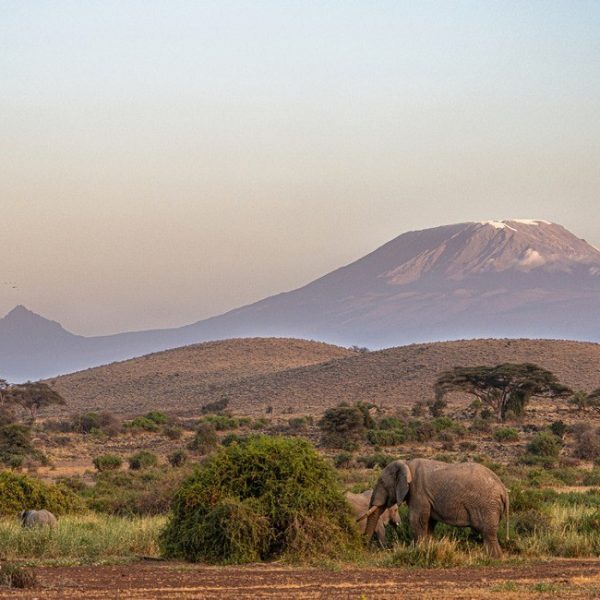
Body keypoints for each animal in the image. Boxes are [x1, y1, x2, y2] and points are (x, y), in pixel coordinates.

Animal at [358, 460, 508, 556]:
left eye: (382, 482)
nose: (364, 549)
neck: (406, 464)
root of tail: (503, 490)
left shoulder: (418, 492)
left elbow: (416, 521)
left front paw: (417, 551)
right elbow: (428, 523)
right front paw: (427, 549)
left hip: (487, 505)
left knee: (488, 533)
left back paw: (493, 559)